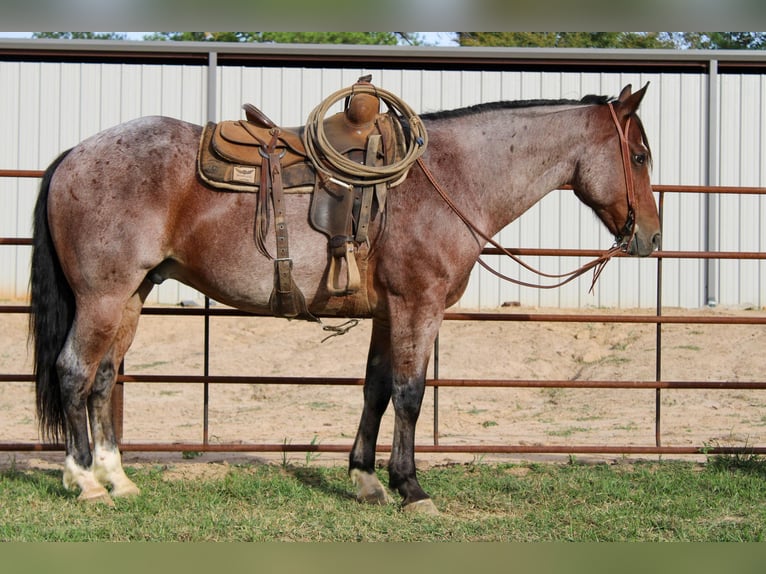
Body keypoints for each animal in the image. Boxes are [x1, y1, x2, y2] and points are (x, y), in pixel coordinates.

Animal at [31, 83, 660, 516]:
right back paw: (84, 481)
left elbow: (376, 389)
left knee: (104, 377)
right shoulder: (417, 305)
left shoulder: (388, 312)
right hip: (104, 297)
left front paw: (365, 479)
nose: (651, 238)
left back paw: (117, 478)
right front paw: (412, 488)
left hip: (131, 296)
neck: (449, 179)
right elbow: (409, 394)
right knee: (74, 371)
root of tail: (74, 154)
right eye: (639, 157)